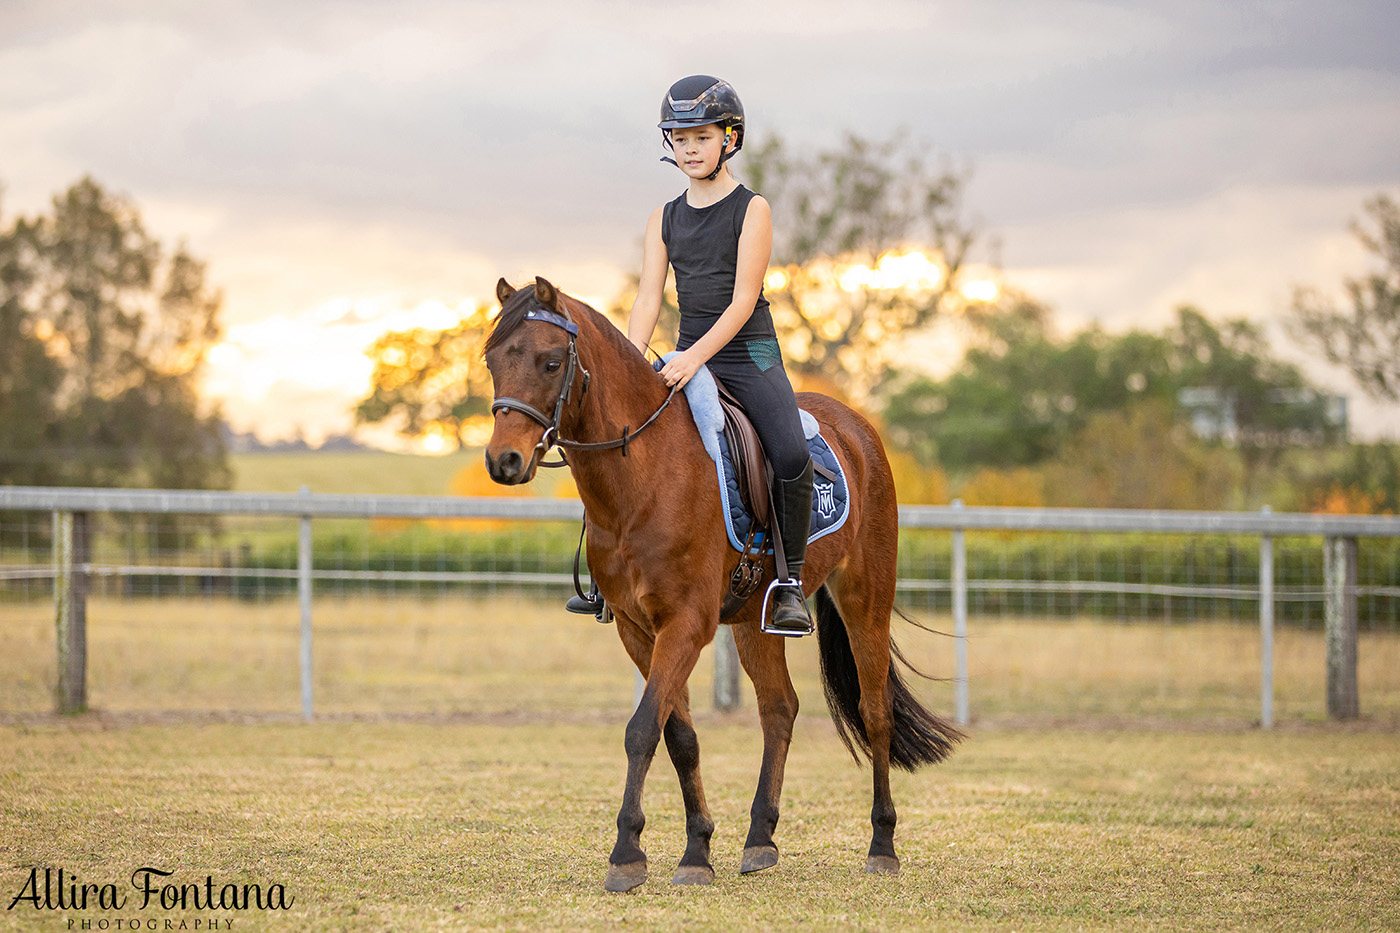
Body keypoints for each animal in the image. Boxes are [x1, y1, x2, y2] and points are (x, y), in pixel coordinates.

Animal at [484, 274, 963, 885]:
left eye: (549, 362)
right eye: (493, 361)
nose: (504, 461)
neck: (643, 476)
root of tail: (856, 426)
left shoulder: (686, 624)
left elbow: (642, 729)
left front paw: (627, 854)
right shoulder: (639, 630)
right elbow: (679, 736)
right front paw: (696, 849)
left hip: (865, 599)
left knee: (874, 711)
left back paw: (882, 845)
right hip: (757, 620)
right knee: (780, 709)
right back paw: (760, 839)